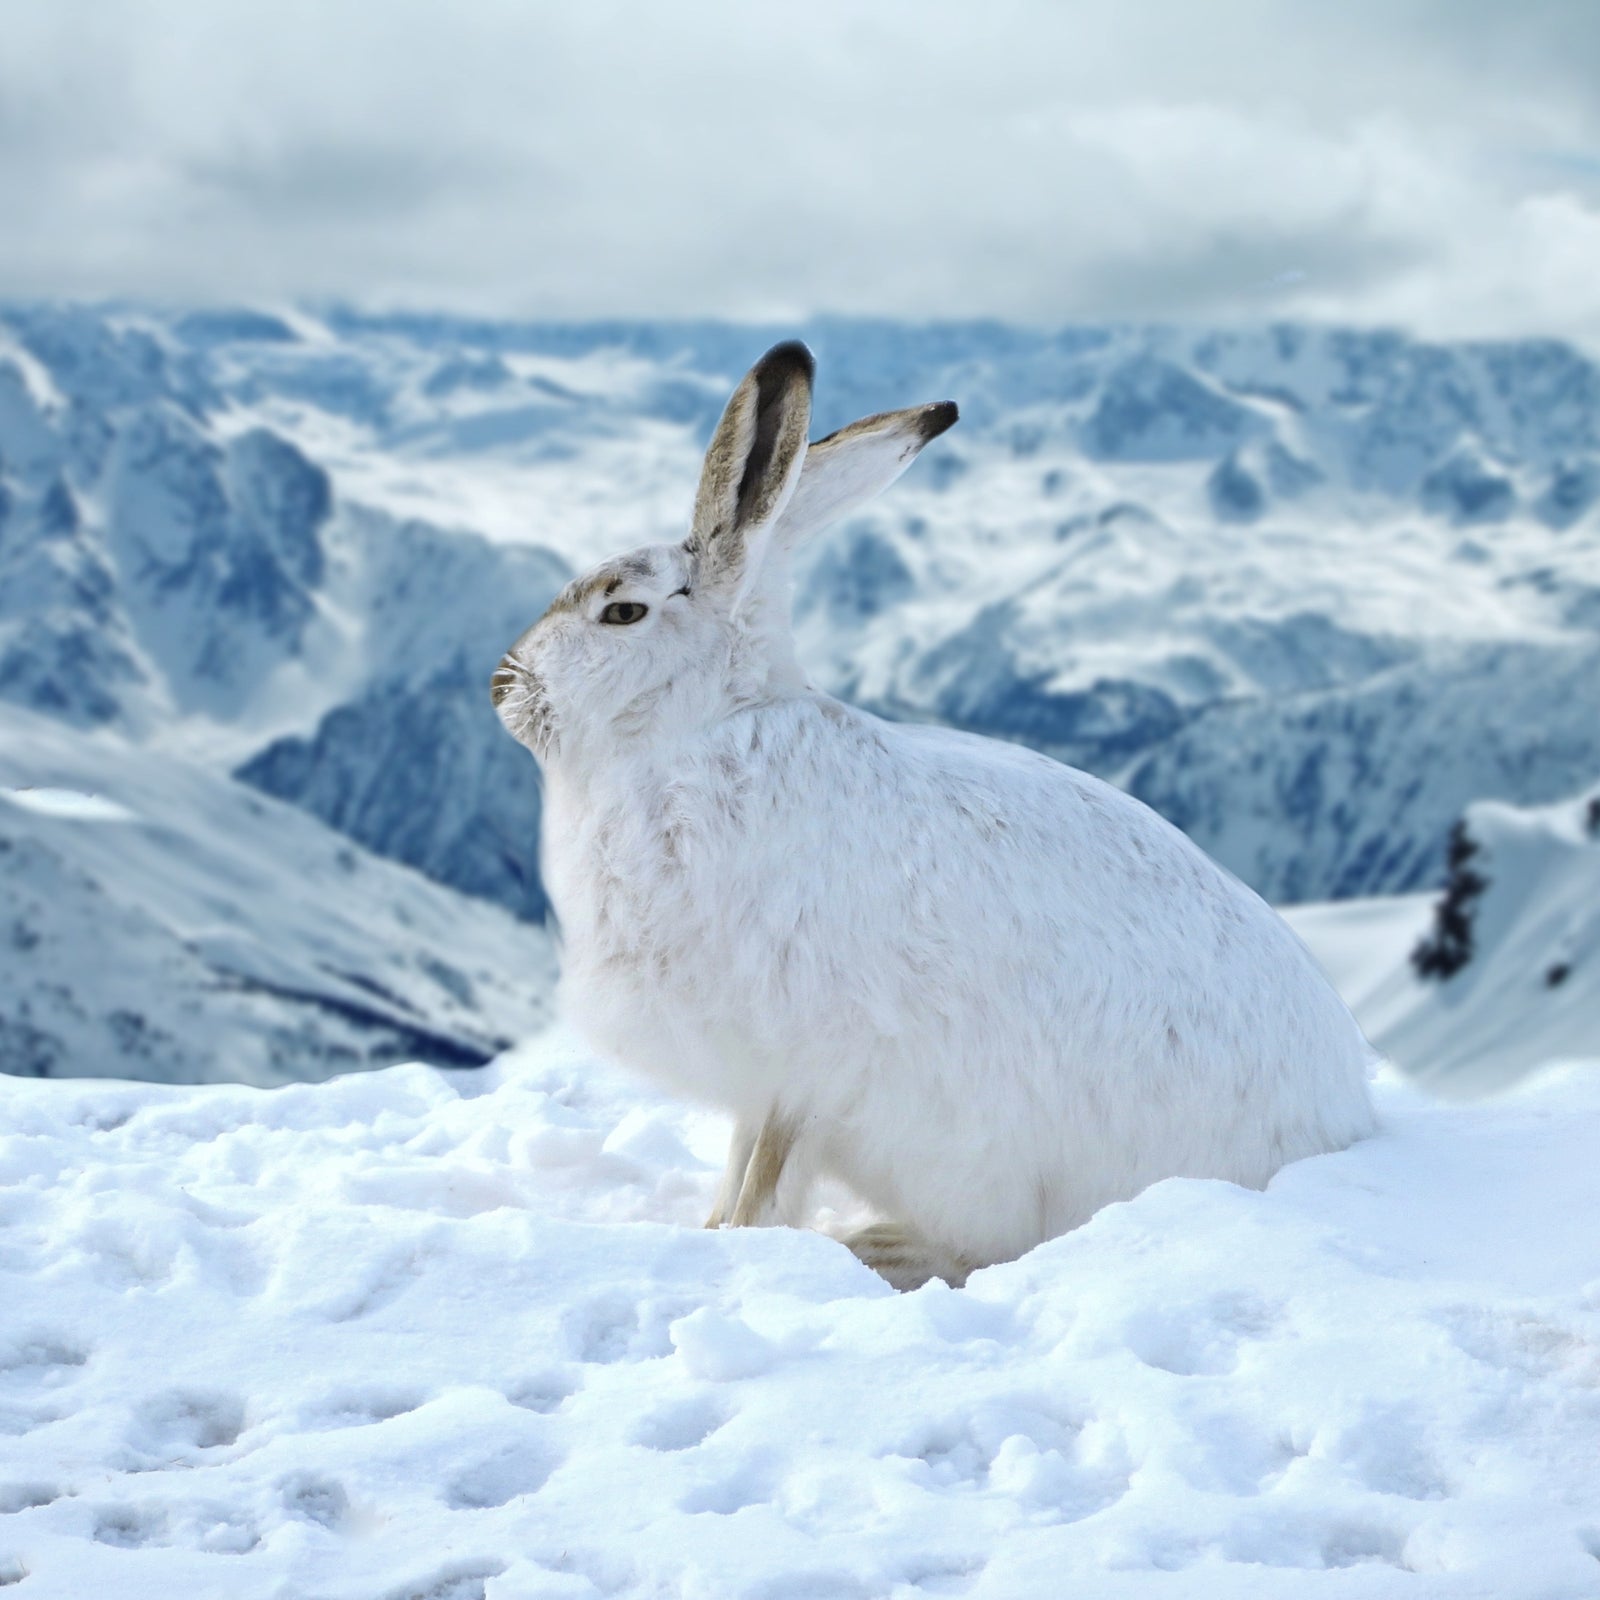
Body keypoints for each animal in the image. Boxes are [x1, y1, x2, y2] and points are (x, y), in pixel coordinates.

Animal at [492, 340, 1377, 1290]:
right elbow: (735, 1163)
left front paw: (739, 1245)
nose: (502, 688)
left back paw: (879, 1248)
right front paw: (707, 1228)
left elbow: (767, 1173)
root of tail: (1340, 1132)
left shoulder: (795, 1068)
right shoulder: (756, 1083)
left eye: (621, 611)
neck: (699, 728)